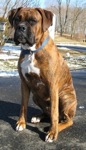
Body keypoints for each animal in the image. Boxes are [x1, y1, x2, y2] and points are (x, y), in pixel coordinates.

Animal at [8, 7, 77, 142]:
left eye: (33, 21)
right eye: (17, 19)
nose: (21, 27)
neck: (32, 51)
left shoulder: (52, 86)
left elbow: (54, 112)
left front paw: (52, 133)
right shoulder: (24, 84)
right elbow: (23, 106)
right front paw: (21, 123)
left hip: (64, 97)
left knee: (66, 119)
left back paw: (56, 126)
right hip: (36, 96)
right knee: (49, 113)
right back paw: (38, 117)